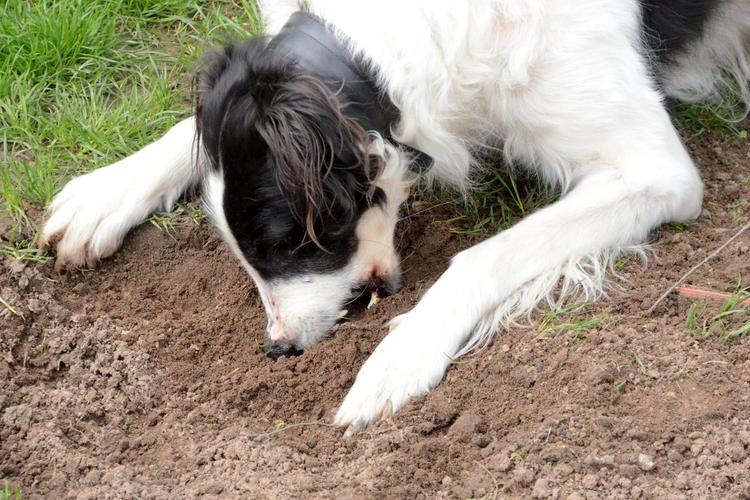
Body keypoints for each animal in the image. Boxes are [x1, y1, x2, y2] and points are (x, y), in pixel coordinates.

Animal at [41, 0, 750, 430]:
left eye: (282, 244)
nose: (278, 349)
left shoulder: (654, 170)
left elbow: (480, 257)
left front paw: (396, 357)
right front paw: (105, 192)